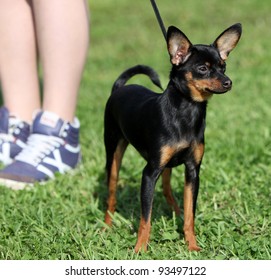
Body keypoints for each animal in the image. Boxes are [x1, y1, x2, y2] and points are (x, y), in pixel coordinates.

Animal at [103, 23, 242, 252]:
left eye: (223, 66)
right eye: (203, 68)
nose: (228, 82)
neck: (188, 111)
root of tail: (119, 87)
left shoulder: (192, 171)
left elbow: (190, 215)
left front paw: (192, 245)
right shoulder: (149, 173)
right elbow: (145, 218)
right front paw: (140, 248)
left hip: (166, 165)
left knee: (167, 189)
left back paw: (176, 212)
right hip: (114, 154)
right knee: (111, 193)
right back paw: (106, 225)